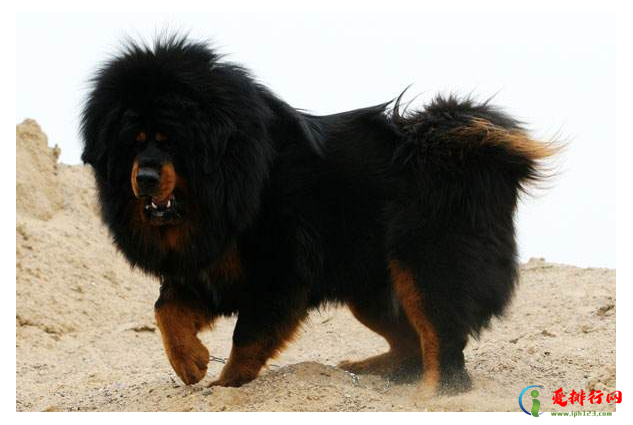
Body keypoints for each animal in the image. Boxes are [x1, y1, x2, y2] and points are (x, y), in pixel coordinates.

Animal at [81, 36, 556, 395]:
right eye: (132, 142)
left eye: (169, 140)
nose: (143, 177)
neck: (230, 185)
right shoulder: (206, 269)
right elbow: (166, 311)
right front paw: (190, 363)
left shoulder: (278, 272)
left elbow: (248, 337)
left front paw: (226, 382)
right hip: (372, 288)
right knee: (411, 344)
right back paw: (367, 371)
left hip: (425, 270)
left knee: (442, 343)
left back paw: (431, 396)